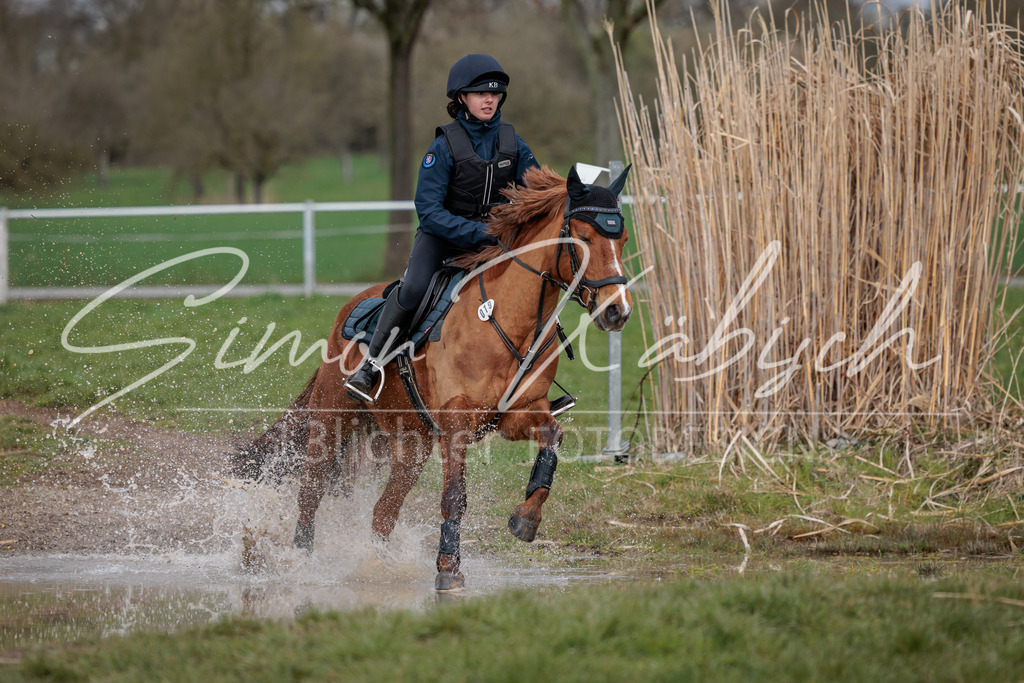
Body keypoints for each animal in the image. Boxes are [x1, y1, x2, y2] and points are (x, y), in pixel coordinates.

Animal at [232, 164, 633, 590]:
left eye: (623, 238)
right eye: (583, 238)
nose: (617, 311)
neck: (506, 318)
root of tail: (351, 306)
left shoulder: (518, 414)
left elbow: (551, 442)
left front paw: (525, 519)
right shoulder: (456, 423)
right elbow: (454, 496)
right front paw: (448, 568)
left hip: (412, 444)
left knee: (383, 512)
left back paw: (379, 567)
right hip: (331, 418)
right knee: (310, 491)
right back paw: (301, 560)